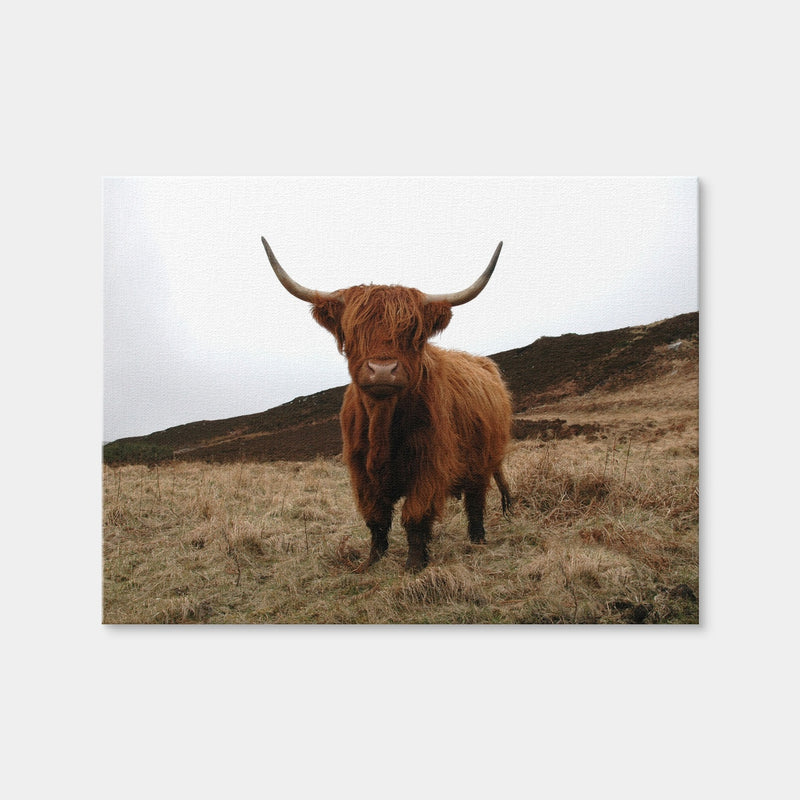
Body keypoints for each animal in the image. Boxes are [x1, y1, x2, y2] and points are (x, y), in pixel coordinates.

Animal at [262, 237, 512, 572]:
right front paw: (372, 560)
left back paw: (478, 540)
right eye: (353, 331)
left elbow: (416, 516)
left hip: (483, 462)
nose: (382, 370)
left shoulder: (429, 465)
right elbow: (376, 518)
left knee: (476, 501)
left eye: (412, 333)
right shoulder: (360, 471)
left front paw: (415, 564)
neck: (382, 424)